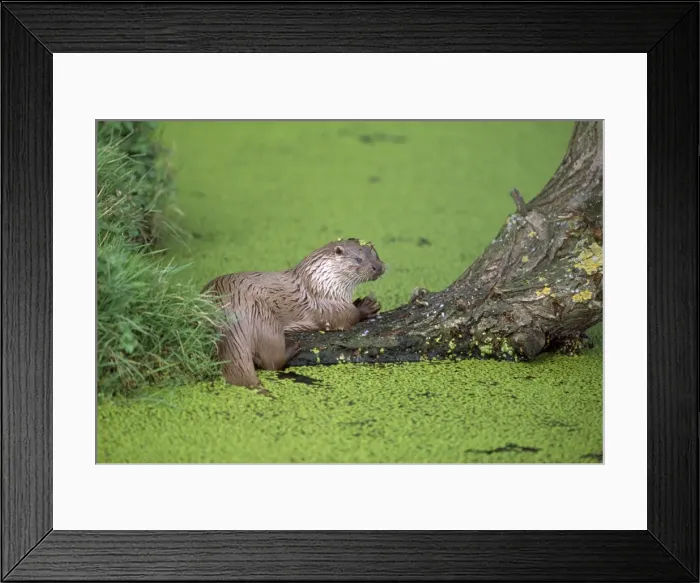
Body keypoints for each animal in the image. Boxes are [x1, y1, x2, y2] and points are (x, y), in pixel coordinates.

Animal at [202, 238, 386, 392]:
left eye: (376, 254)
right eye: (358, 260)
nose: (378, 267)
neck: (323, 285)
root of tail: (227, 315)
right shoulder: (325, 306)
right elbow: (347, 317)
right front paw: (365, 307)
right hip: (264, 317)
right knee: (272, 362)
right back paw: (292, 348)